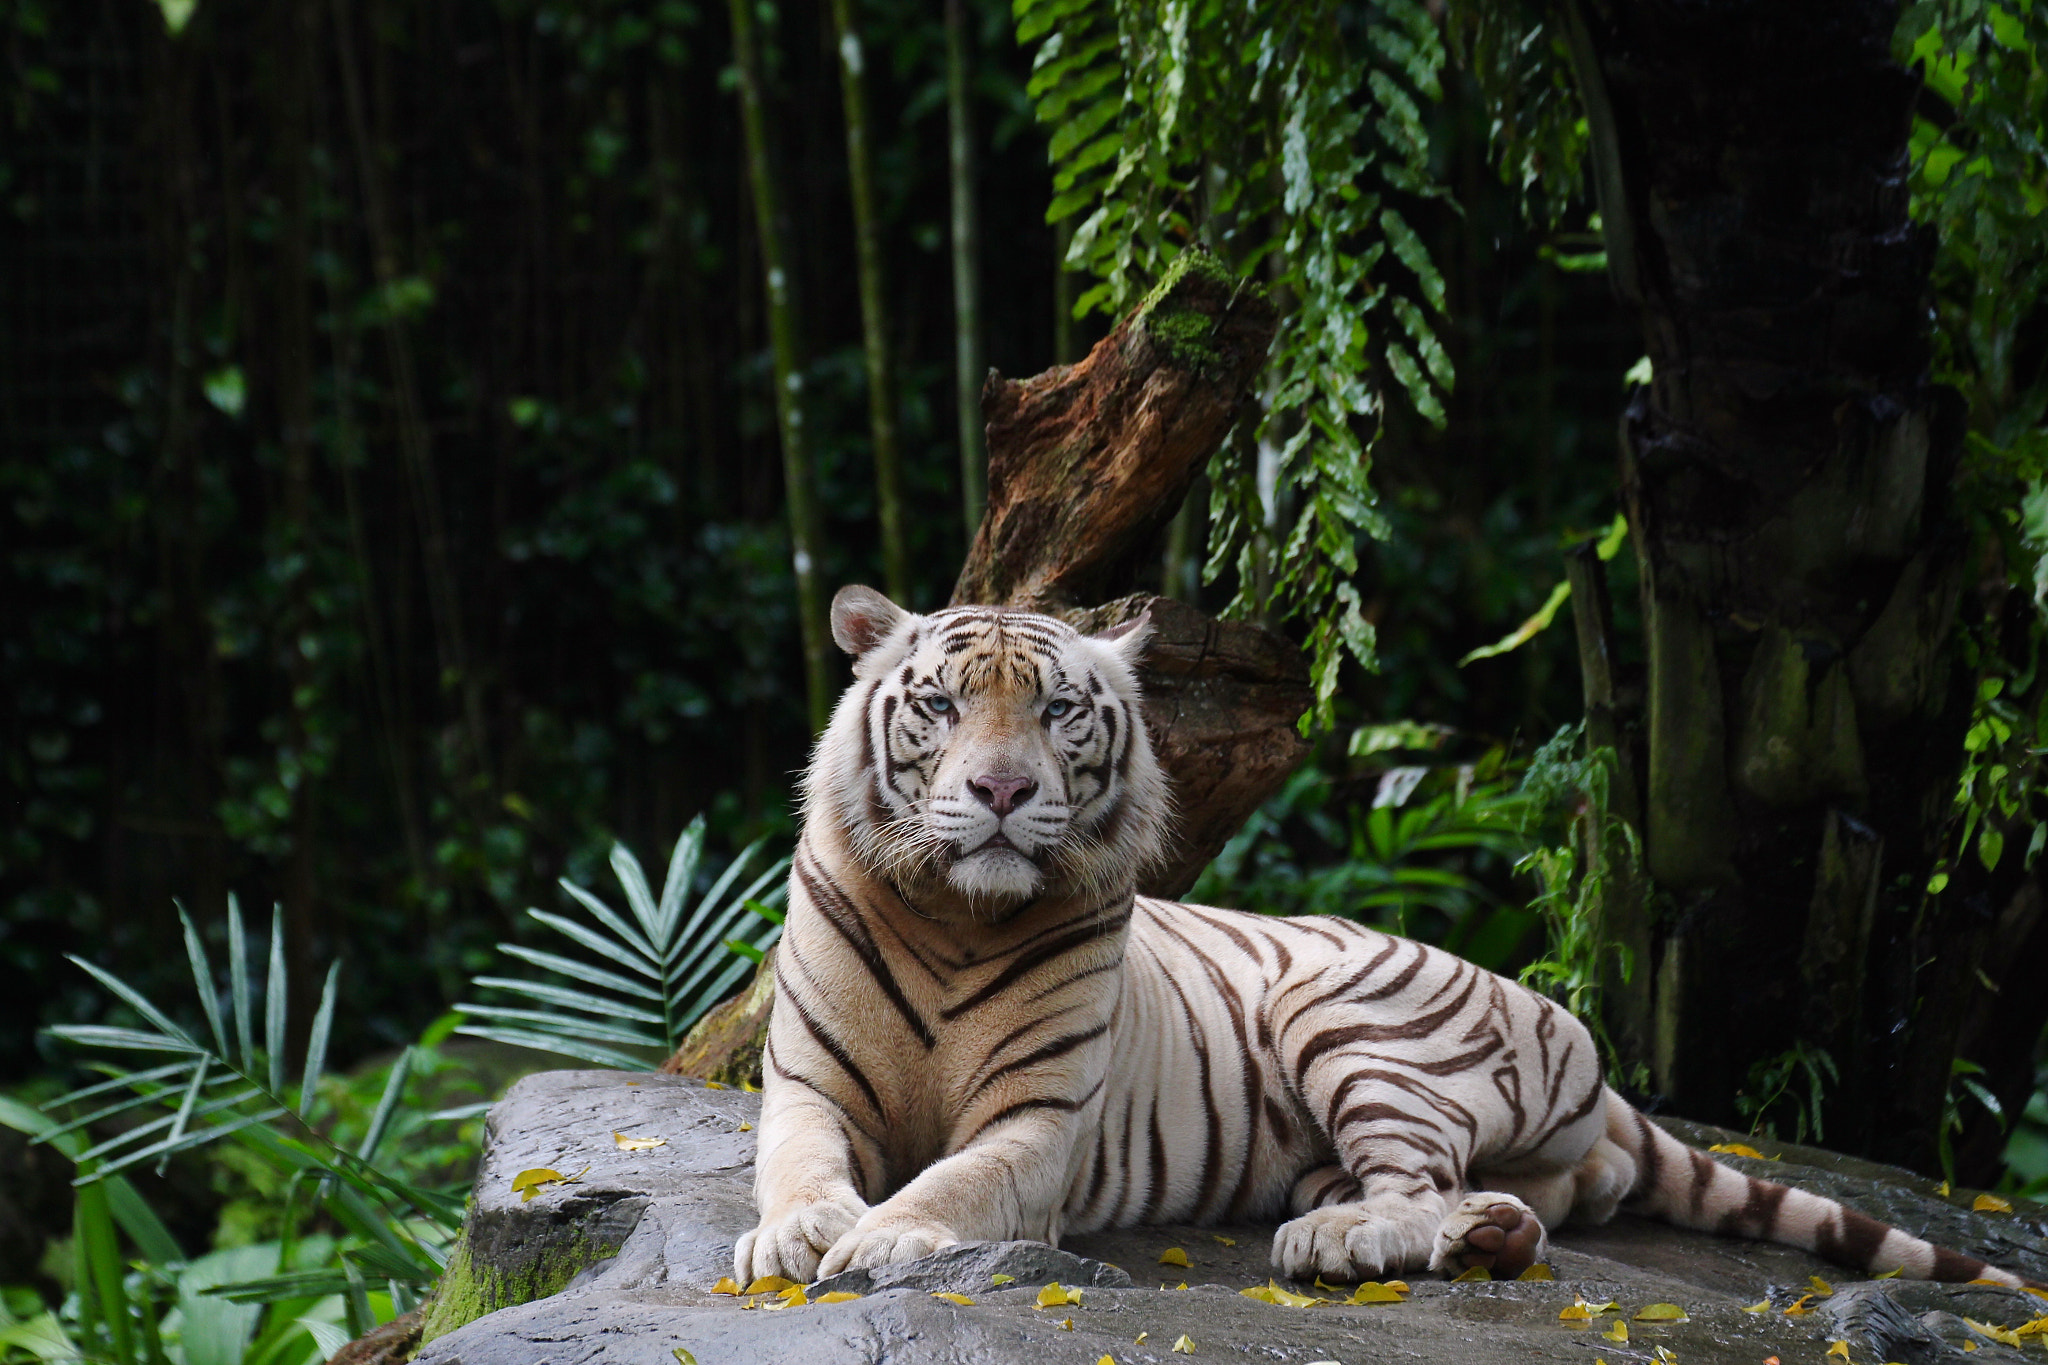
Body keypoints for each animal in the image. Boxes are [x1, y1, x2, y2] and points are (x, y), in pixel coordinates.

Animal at [735, 583, 2035, 1289]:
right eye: (940, 705)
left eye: (1057, 711)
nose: (1002, 792)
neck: (955, 912)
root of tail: (1575, 1033)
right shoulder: (805, 1085)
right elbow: (795, 1163)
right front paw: (795, 1232)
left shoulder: (1039, 1124)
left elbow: (955, 1186)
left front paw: (875, 1245)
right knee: (1533, 1191)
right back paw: (1486, 1234)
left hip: (1351, 1019)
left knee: (1412, 1188)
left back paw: (1345, 1243)